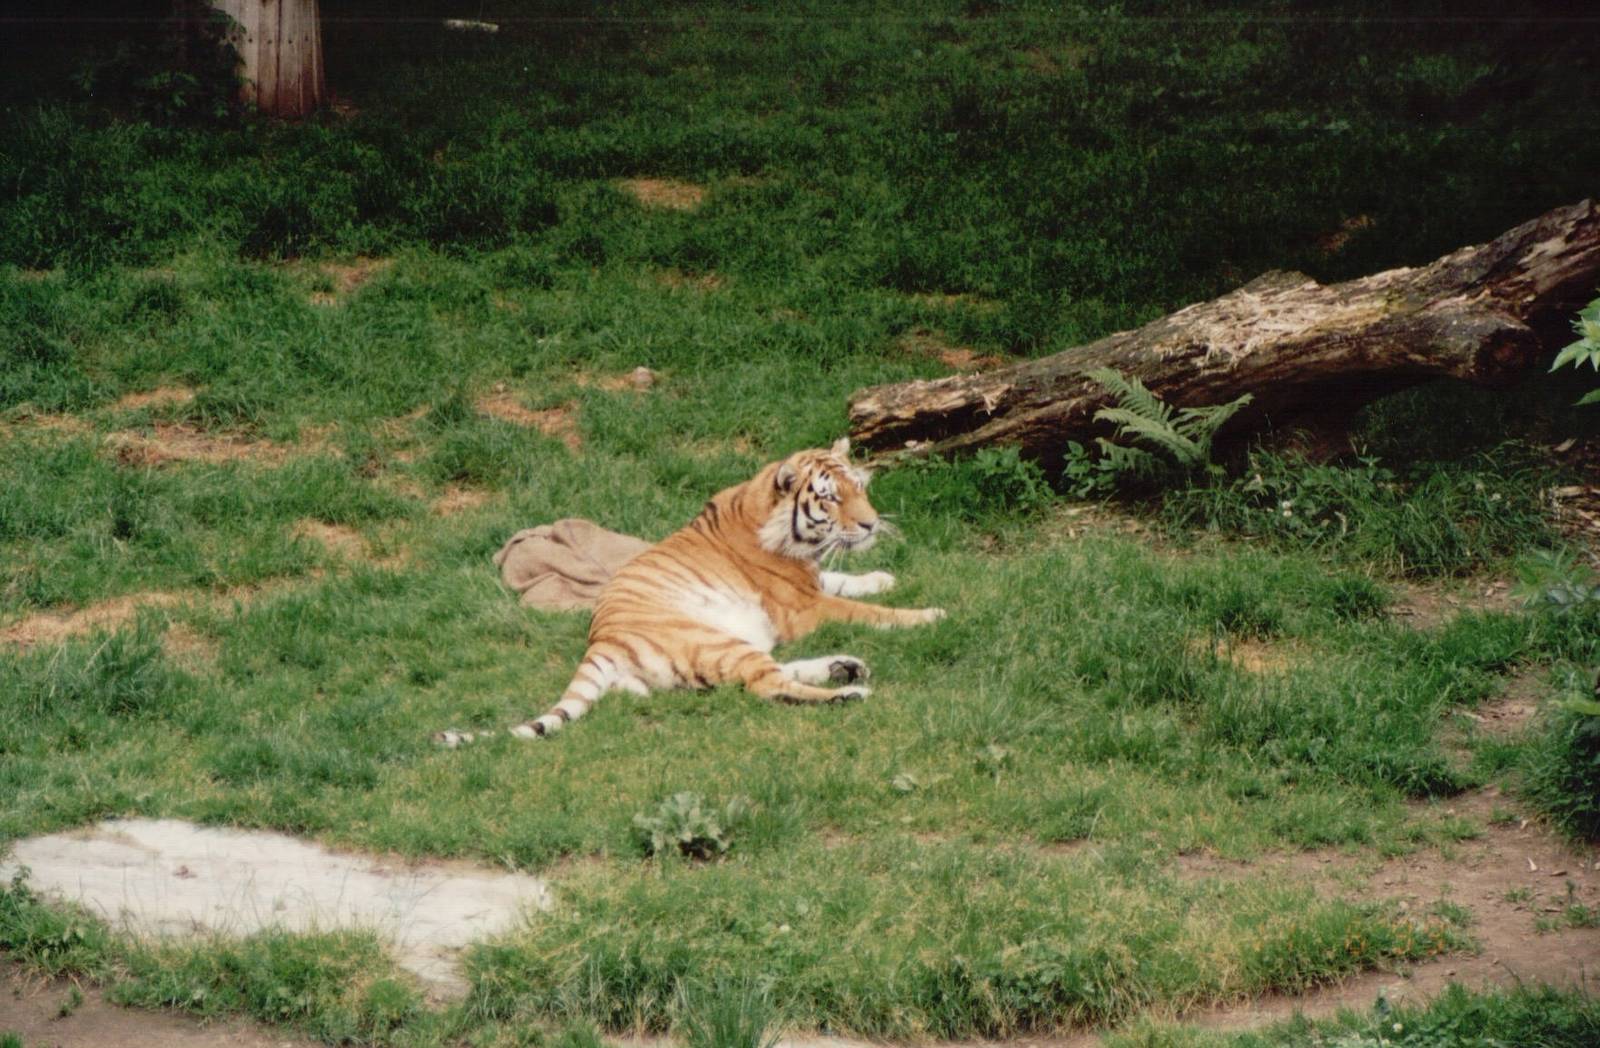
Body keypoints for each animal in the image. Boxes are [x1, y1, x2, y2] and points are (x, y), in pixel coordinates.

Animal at [434, 438, 944, 746]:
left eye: (858, 487)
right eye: (831, 498)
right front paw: (930, 615)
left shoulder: (809, 582)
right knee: (768, 684)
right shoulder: (804, 606)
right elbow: (867, 610)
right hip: (714, 638)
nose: (871, 524)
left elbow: (845, 581)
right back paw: (848, 692)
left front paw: (883, 578)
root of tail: (601, 640)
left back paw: (845, 667)